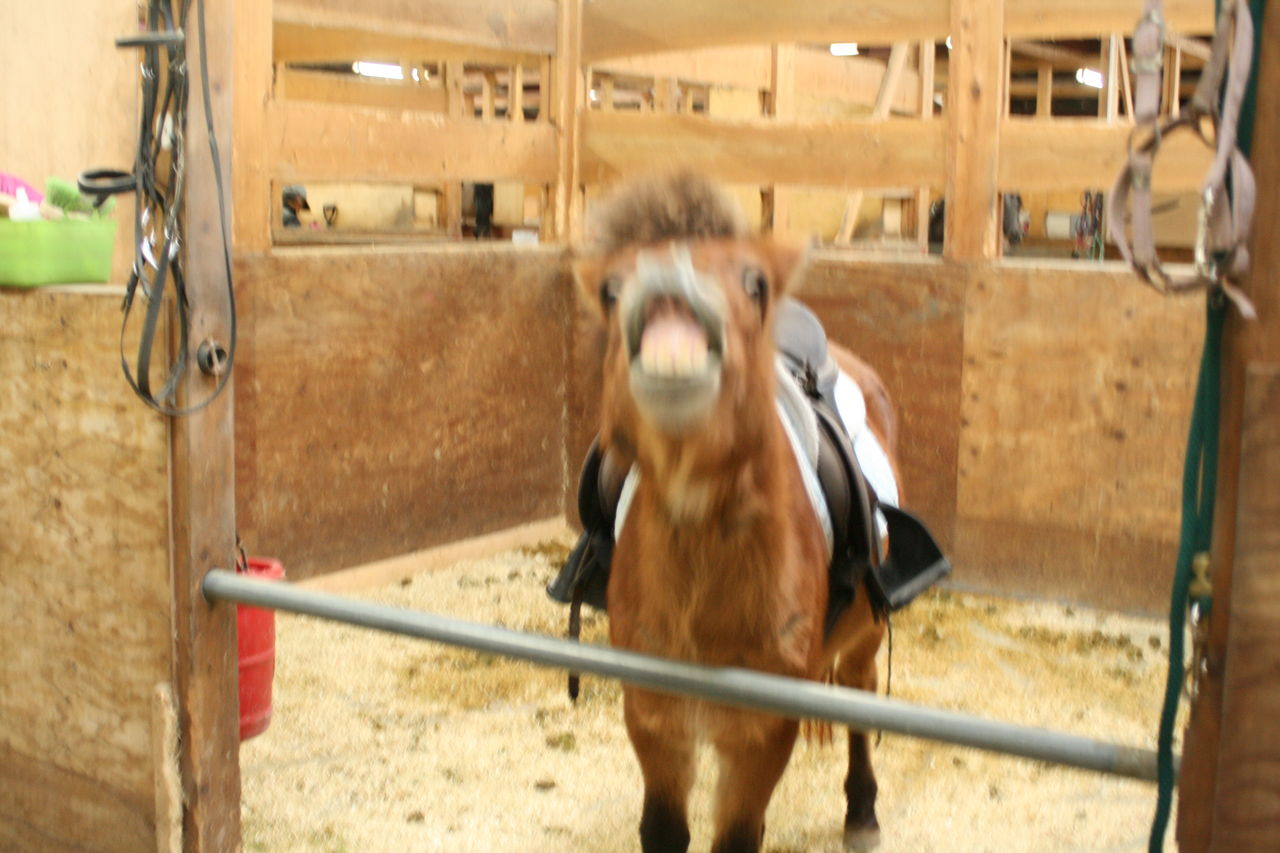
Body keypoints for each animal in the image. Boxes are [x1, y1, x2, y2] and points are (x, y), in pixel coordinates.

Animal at [574, 173, 895, 852]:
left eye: (755, 283)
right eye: (612, 290)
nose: (668, 283)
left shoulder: (759, 732)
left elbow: (739, 835)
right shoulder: (655, 717)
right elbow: (663, 828)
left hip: (865, 639)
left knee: (858, 695)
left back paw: (862, 811)